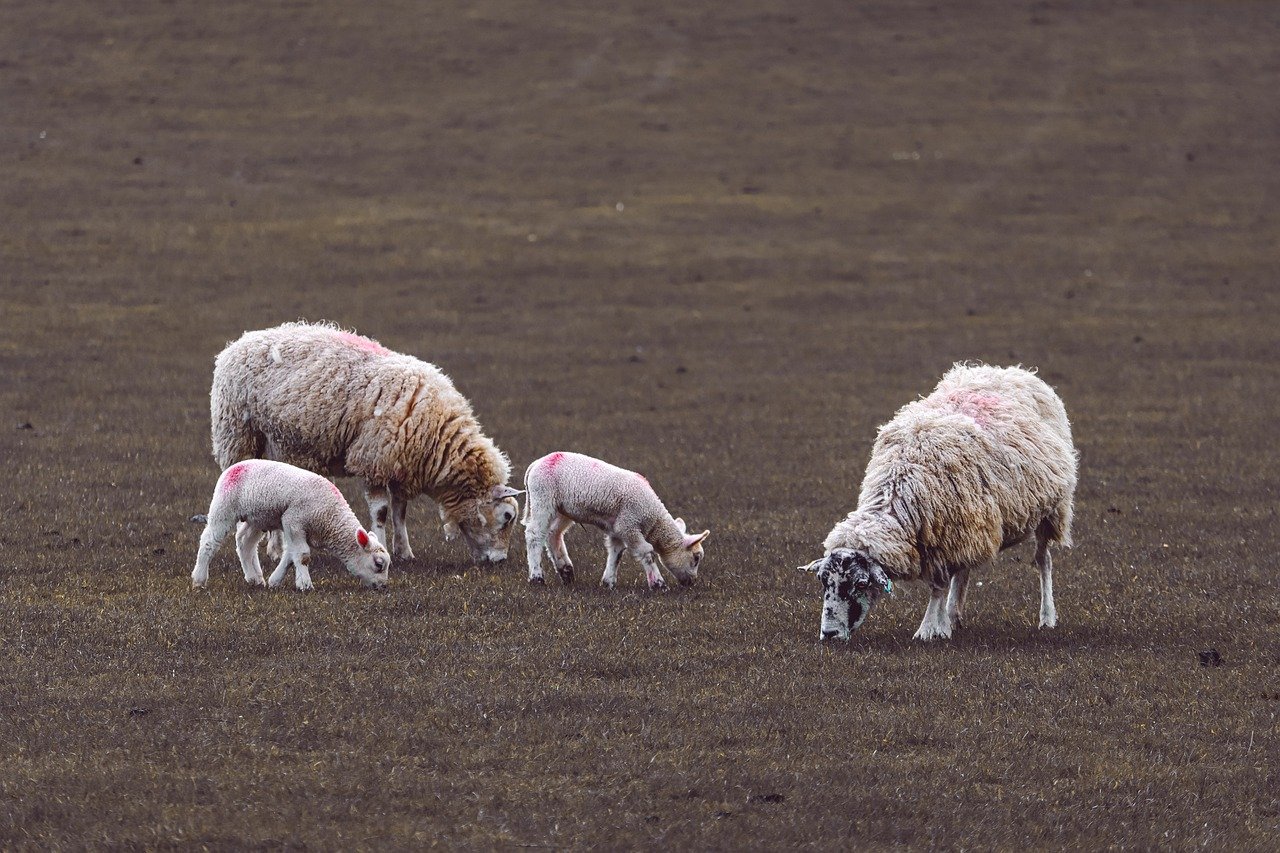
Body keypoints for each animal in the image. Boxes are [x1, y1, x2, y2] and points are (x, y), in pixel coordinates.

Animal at [189, 458, 389, 591]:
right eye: (379, 564)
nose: (383, 587)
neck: (330, 518)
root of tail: (234, 467)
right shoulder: (293, 520)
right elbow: (302, 556)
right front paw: (305, 585)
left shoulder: (300, 529)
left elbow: (290, 556)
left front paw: (275, 581)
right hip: (224, 507)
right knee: (209, 541)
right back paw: (199, 579)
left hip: (257, 518)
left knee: (245, 542)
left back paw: (255, 579)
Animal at [212, 322, 522, 568]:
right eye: (507, 516)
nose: (500, 561)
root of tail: (237, 343)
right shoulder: (374, 460)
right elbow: (381, 512)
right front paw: (384, 547)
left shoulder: (399, 465)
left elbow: (399, 511)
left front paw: (405, 552)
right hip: (238, 436)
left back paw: (276, 550)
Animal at [519, 448, 711, 589]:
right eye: (696, 558)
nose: (692, 583)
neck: (653, 518)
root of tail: (536, 464)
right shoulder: (628, 525)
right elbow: (647, 552)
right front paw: (658, 584)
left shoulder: (617, 528)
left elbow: (616, 553)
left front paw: (608, 583)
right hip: (543, 498)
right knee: (534, 535)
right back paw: (537, 578)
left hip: (562, 509)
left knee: (553, 534)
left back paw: (566, 572)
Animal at [798, 361, 1080, 640]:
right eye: (823, 581)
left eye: (860, 583)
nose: (829, 633)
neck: (900, 481)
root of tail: (1010, 370)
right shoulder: (948, 535)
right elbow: (944, 581)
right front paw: (941, 624)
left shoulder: (945, 537)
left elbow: (937, 586)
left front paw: (929, 629)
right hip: (972, 524)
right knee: (964, 570)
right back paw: (954, 614)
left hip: (1051, 510)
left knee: (1043, 561)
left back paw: (1047, 617)